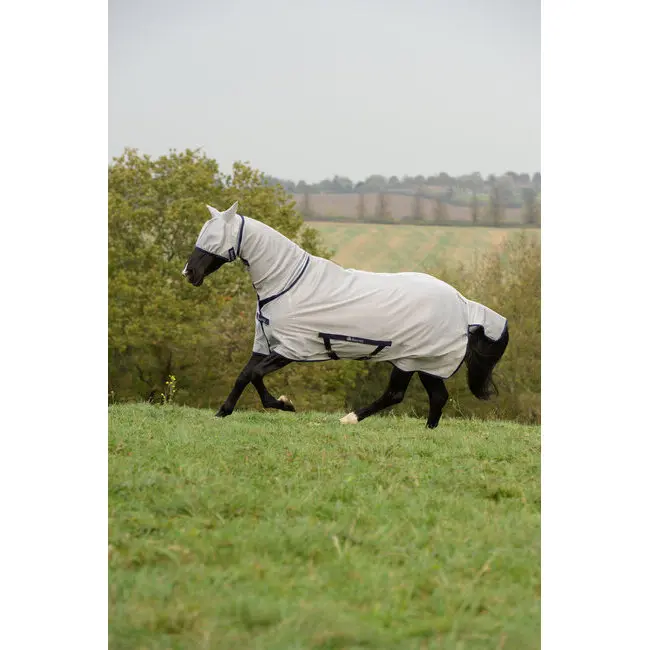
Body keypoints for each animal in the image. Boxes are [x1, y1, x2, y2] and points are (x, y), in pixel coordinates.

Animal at [183, 202, 509, 428]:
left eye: (214, 238)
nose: (189, 273)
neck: (288, 283)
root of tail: (463, 304)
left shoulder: (291, 349)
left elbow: (254, 375)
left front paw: (285, 404)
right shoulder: (265, 343)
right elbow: (244, 376)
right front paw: (223, 412)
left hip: (415, 360)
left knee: (400, 395)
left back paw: (350, 419)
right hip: (421, 362)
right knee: (431, 397)